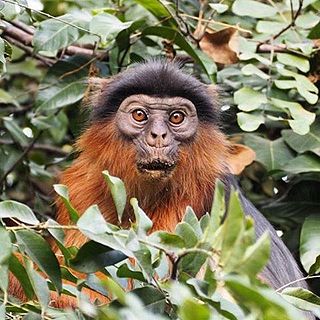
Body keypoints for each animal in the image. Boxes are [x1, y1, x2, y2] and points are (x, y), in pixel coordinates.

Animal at [8, 60, 316, 318]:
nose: (158, 135)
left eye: (176, 118)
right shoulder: (81, 187)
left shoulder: (194, 203)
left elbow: (121, 290)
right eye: (140, 115)